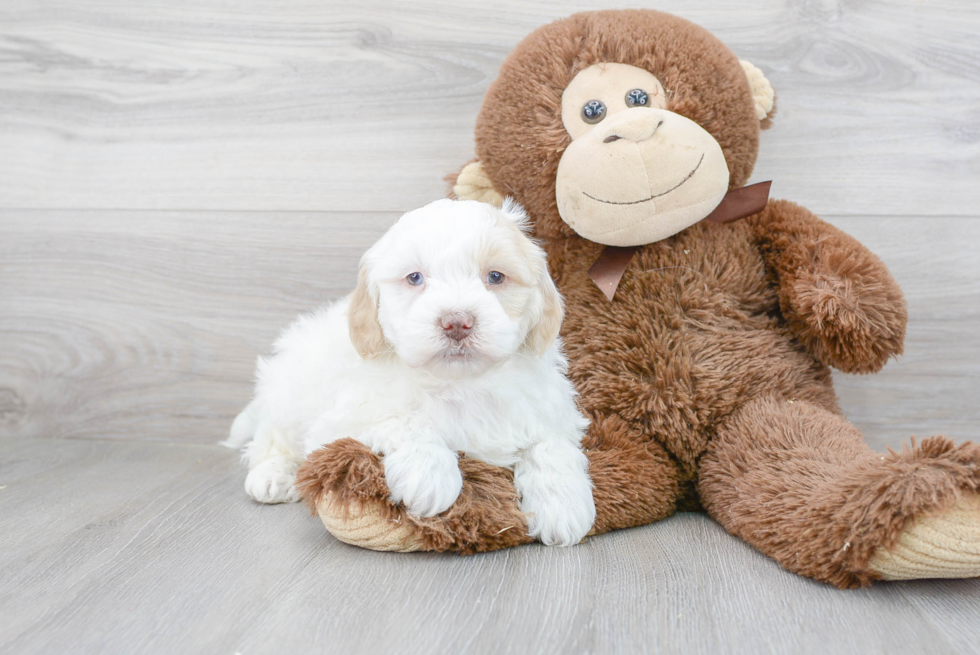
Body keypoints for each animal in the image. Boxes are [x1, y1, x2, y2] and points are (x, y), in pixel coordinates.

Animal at [228, 197, 596, 544]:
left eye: (495, 277)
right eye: (414, 278)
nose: (457, 321)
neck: (460, 384)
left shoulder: (550, 410)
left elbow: (551, 445)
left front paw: (564, 504)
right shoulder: (339, 424)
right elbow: (406, 420)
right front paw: (429, 475)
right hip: (290, 389)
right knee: (271, 438)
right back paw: (272, 475)